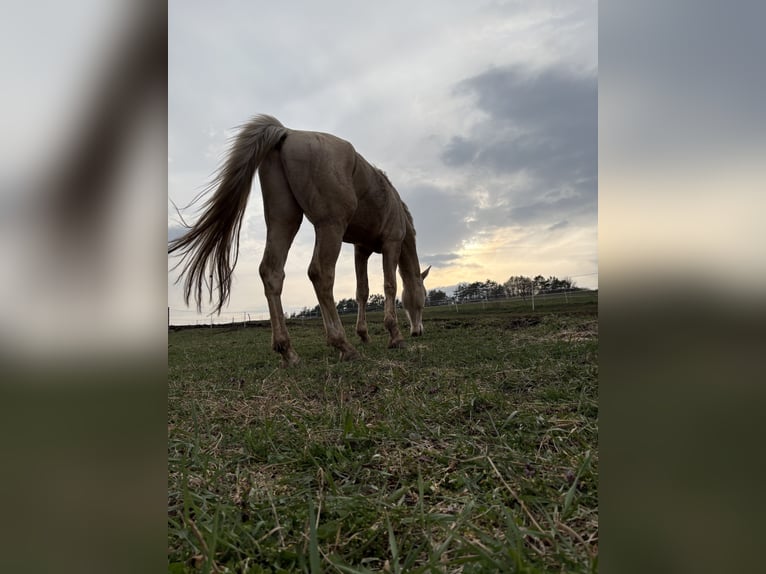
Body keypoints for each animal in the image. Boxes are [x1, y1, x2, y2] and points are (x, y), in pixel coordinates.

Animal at [169, 115, 430, 366]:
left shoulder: (360, 250)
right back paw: (343, 345)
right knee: (321, 274)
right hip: (329, 227)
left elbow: (362, 291)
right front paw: (395, 336)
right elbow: (389, 285)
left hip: (284, 221)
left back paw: (287, 351)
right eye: (423, 298)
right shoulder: (391, 244)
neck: (394, 205)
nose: (418, 331)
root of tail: (288, 133)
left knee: (272, 272)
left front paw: (364, 335)